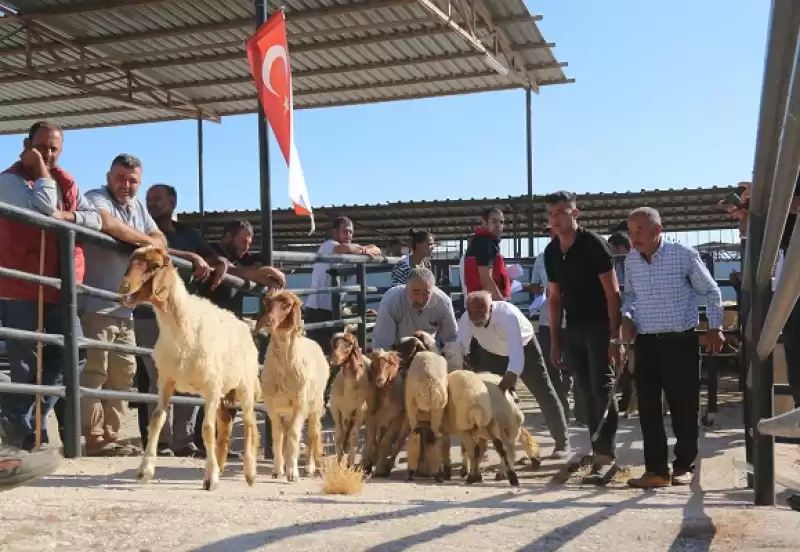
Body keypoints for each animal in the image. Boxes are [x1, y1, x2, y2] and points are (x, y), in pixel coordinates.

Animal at [117, 247, 260, 492]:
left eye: (155, 266)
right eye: (130, 262)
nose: (124, 287)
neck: (180, 323)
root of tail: (244, 324)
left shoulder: (211, 387)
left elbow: (207, 429)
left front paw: (210, 478)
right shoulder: (166, 380)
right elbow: (156, 420)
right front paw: (145, 470)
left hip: (244, 385)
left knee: (250, 424)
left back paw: (249, 473)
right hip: (222, 391)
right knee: (226, 423)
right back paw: (221, 464)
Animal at [258, 292, 330, 480]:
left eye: (288, 305)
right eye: (267, 303)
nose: (269, 320)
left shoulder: (300, 403)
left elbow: (294, 436)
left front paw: (293, 472)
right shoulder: (271, 405)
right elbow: (278, 435)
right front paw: (278, 470)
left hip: (315, 405)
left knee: (312, 434)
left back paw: (309, 467)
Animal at [328, 330, 372, 468]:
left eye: (349, 345)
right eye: (335, 344)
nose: (334, 359)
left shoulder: (360, 411)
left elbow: (354, 436)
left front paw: (351, 464)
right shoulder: (335, 409)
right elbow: (338, 435)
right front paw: (338, 462)